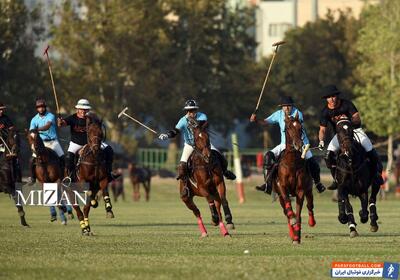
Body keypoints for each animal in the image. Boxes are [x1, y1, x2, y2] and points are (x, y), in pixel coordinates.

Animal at [272, 112, 316, 244]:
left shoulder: (300, 190)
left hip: (309, 189)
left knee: (310, 205)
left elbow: (299, 214)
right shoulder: (282, 187)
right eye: (289, 127)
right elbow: (289, 206)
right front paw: (293, 227)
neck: (292, 163)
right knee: (286, 211)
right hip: (279, 196)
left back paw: (311, 222)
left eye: (300, 128)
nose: (299, 145)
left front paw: (297, 237)